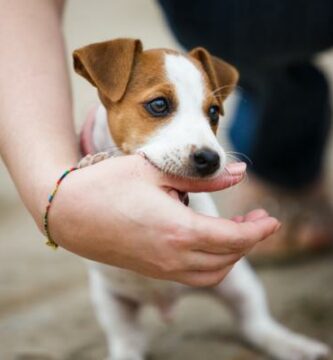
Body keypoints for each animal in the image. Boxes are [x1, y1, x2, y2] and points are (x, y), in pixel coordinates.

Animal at [72, 38, 326, 360]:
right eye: (159, 105)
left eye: (214, 112)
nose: (211, 159)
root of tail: (166, 301)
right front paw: (93, 163)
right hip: (111, 303)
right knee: (127, 341)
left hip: (238, 283)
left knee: (254, 323)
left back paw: (291, 344)